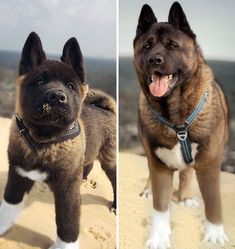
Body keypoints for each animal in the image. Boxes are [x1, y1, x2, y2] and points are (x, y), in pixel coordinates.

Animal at [0, 32, 115, 249]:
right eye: (39, 82)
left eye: (70, 86)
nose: (56, 97)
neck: (44, 141)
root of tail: (107, 109)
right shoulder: (18, 174)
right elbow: (10, 202)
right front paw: (2, 225)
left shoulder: (67, 189)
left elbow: (68, 221)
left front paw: (65, 245)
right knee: (87, 165)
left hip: (110, 161)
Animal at [134, 1, 229, 249]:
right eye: (147, 46)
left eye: (172, 45)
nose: (154, 60)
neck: (176, 118)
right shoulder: (158, 163)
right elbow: (160, 205)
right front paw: (159, 236)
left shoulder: (209, 163)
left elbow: (213, 202)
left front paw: (215, 235)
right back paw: (148, 190)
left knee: (186, 172)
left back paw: (185, 196)